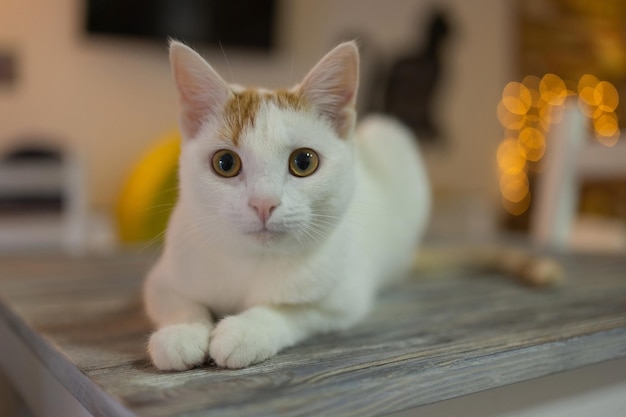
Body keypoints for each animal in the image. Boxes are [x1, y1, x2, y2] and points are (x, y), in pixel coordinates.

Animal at [144, 40, 432, 368]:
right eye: (225, 162)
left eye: (304, 162)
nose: (264, 203)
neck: (252, 259)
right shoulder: (162, 279)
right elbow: (178, 301)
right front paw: (181, 331)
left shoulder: (345, 300)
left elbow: (292, 311)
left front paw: (247, 331)